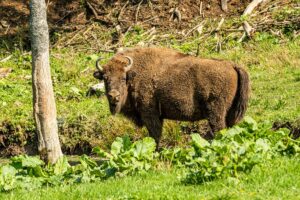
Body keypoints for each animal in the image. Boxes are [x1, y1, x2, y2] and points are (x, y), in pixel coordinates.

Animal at [92, 46, 250, 147]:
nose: (113, 96)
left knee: (218, 129)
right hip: (230, 113)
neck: (135, 74)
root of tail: (231, 65)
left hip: (215, 112)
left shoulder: (150, 115)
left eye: (123, 78)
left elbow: (155, 135)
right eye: (105, 78)